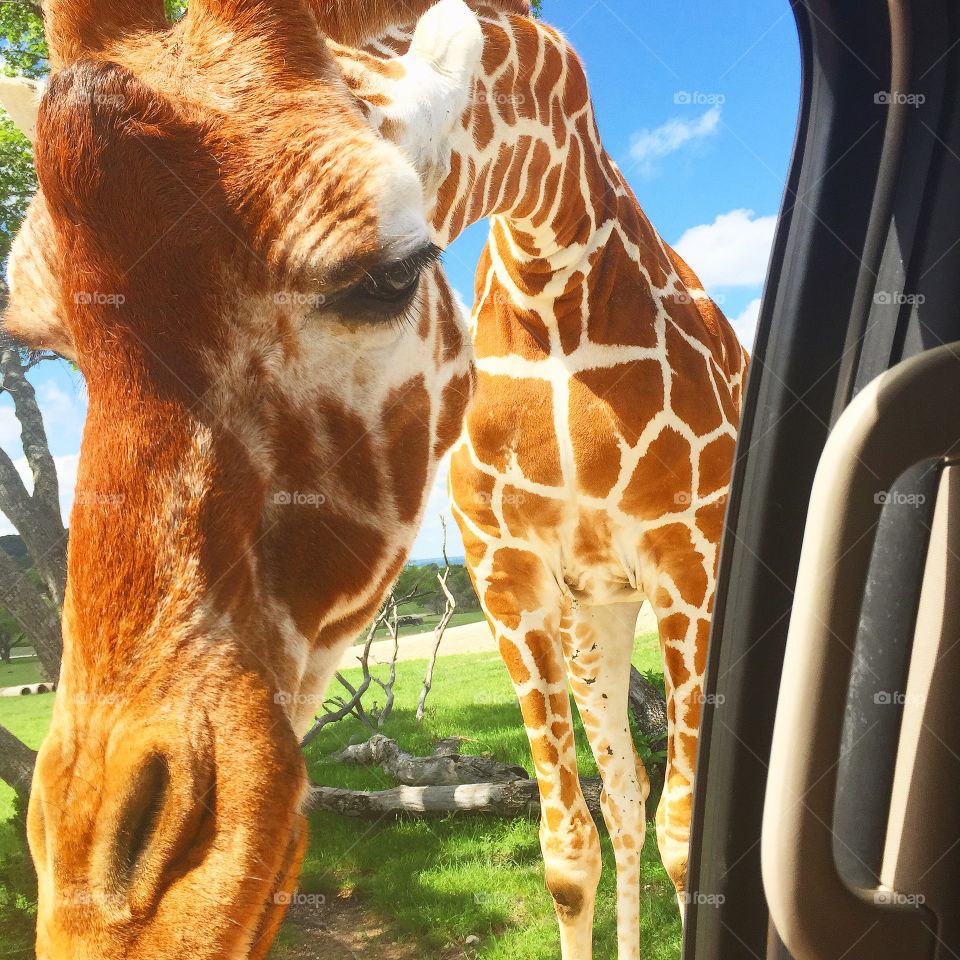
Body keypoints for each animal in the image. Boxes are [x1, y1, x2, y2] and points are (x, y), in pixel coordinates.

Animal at [330, 3, 752, 956]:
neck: (552, 301)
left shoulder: (692, 563)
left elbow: (689, 842)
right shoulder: (508, 577)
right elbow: (567, 853)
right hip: (595, 615)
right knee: (625, 794)